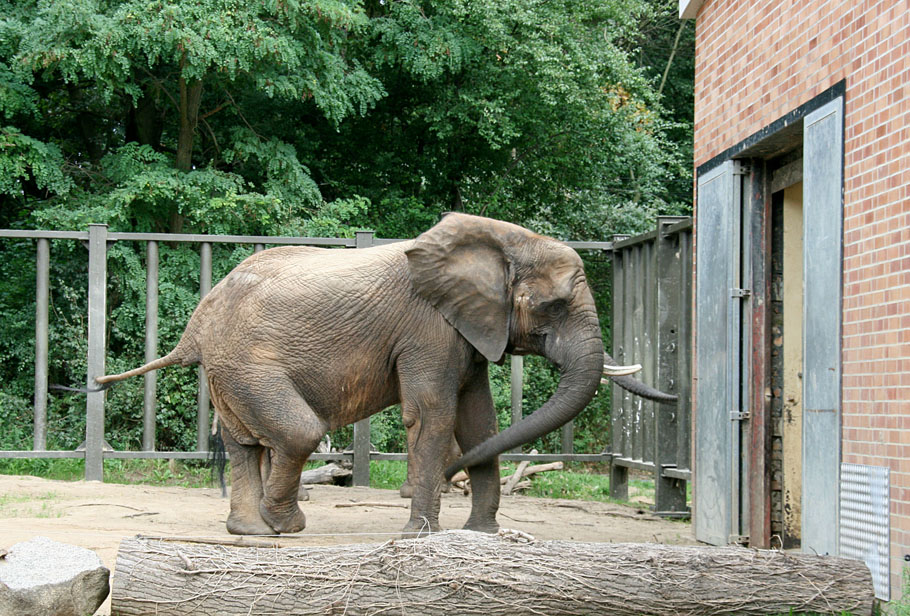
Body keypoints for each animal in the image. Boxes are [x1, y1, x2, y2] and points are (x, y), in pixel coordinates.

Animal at [96, 212, 644, 536]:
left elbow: (479, 423)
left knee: (245, 443)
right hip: (245, 364)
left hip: (228, 371)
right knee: (298, 433)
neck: (500, 241)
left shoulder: (467, 330)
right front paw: (422, 536)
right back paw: (286, 525)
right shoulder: (428, 328)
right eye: (554, 307)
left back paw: (252, 533)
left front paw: (480, 535)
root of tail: (197, 324)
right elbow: (432, 415)